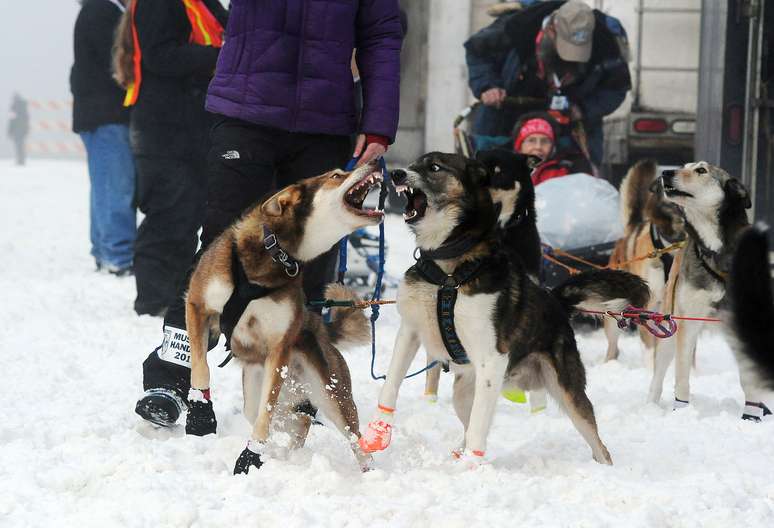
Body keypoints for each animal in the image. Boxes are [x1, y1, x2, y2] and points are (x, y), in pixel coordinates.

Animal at [183, 159, 388, 472]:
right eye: (336, 175)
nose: (376, 160)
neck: (276, 253)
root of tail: (322, 330)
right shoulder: (197, 305)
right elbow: (200, 367)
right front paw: (199, 413)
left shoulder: (279, 347)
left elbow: (264, 418)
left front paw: (250, 456)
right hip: (261, 391)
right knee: (296, 419)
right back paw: (289, 455)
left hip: (330, 393)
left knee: (349, 435)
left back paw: (366, 470)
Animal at [360, 151, 652, 464]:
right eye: (414, 164)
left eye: (435, 167)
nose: (397, 174)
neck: (448, 271)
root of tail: (556, 301)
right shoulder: (410, 331)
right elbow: (390, 385)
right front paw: (377, 432)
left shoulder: (491, 357)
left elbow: (479, 425)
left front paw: (473, 467)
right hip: (466, 390)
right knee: (470, 420)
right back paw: (459, 452)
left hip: (564, 390)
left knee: (597, 442)